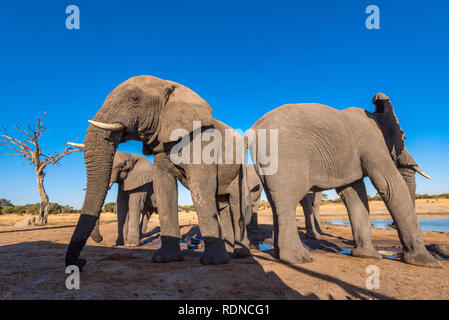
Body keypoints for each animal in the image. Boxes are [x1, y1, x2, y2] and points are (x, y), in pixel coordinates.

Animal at [65, 75, 250, 270]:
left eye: (134, 99)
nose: (81, 262)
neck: (170, 85)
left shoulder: (201, 141)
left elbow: (200, 188)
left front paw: (213, 262)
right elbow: (163, 186)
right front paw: (165, 259)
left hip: (241, 168)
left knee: (236, 204)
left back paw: (240, 254)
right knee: (222, 205)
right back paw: (230, 252)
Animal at [247, 93, 440, 268]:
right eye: (404, 136)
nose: (390, 225)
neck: (375, 114)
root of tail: (253, 130)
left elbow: (354, 195)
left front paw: (367, 255)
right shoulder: (372, 145)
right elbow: (390, 185)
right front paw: (429, 263)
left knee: (275, 202)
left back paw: (280, 254)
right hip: (286, 155)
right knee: (288, 200)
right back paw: (299, 259)